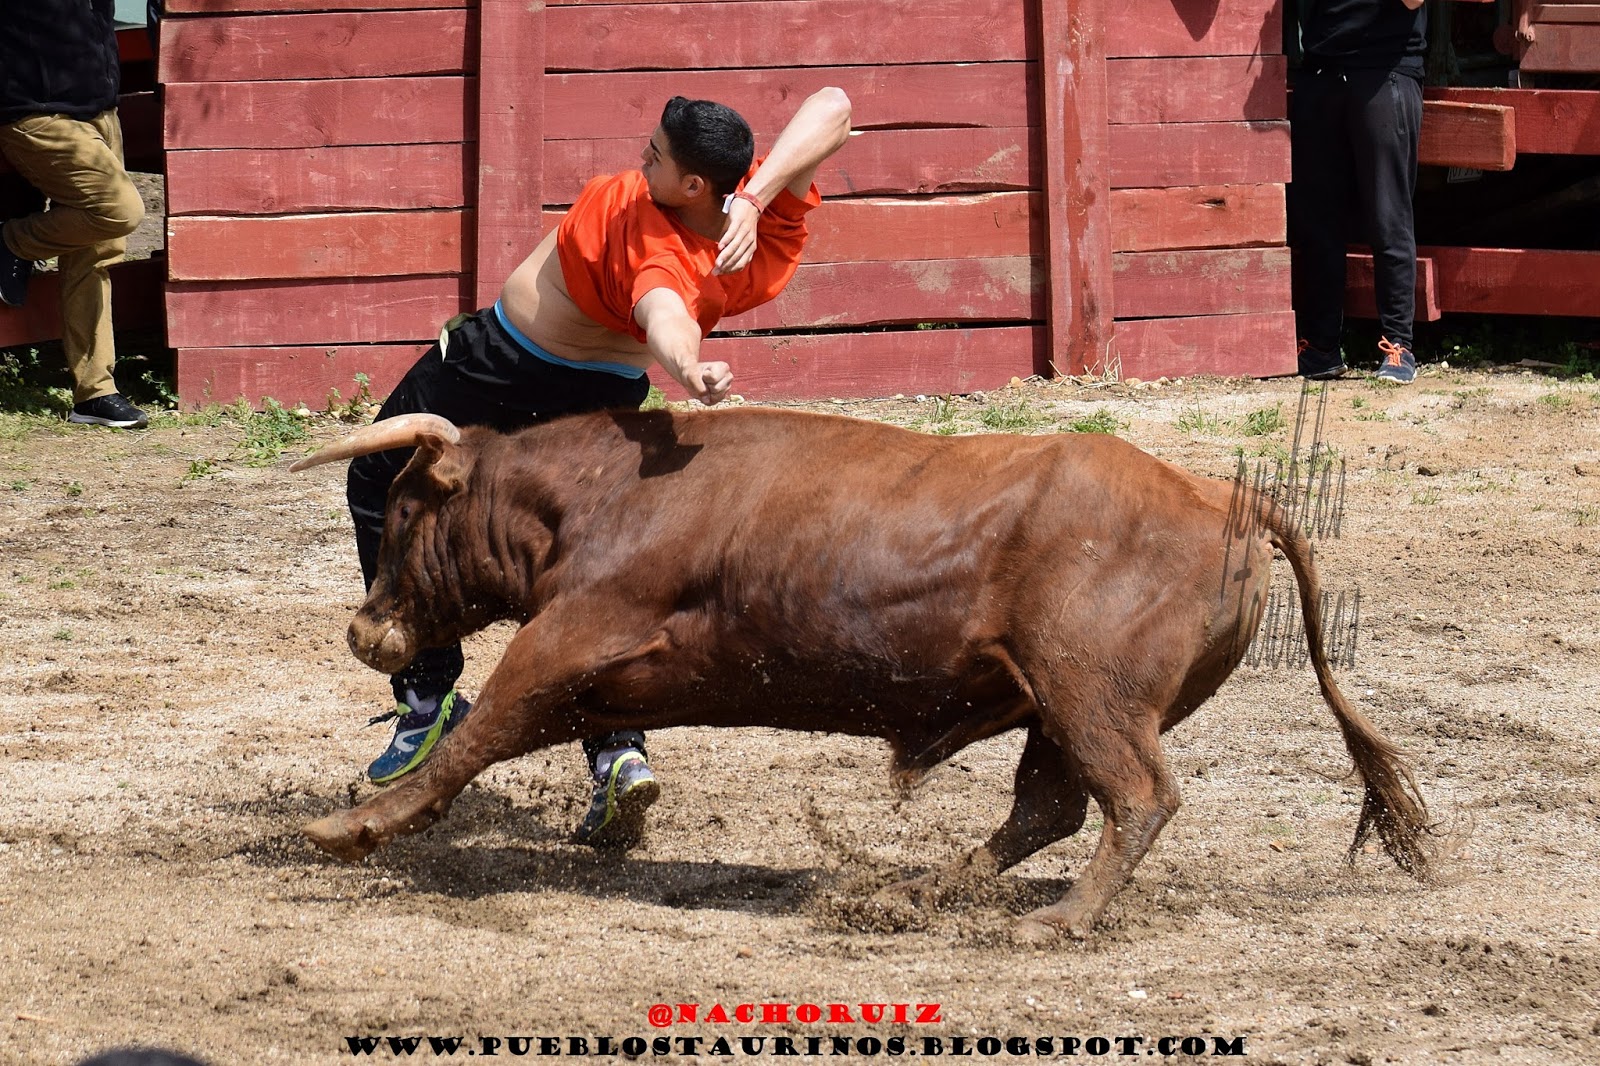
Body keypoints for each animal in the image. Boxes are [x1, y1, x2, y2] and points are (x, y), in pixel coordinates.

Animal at [290, 406, 1430, 941]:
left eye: (402, 512)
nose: (362, 630)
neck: (592, 494)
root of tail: (1216, 495)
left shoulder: (569, 634)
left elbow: (478, 734)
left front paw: (352, 826)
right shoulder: (600, 671)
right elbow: (524, 732)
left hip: (1089, 691)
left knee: (1137, 795)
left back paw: (1055, 920)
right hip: (1052, 706)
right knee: (1049, 806)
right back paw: (921, 889)